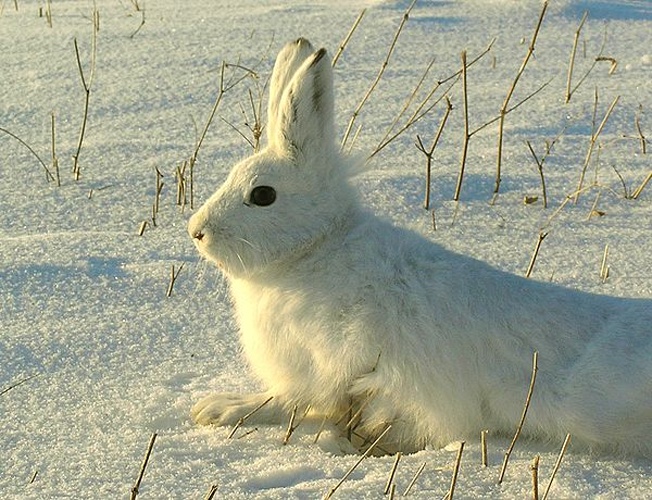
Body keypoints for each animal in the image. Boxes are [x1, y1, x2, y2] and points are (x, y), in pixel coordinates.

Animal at [188, 37, 652, 456]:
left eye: (263, 195)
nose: (197, 230)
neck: (318, 245)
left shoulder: (330, 364)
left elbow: (291, 400)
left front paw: (219, 409)